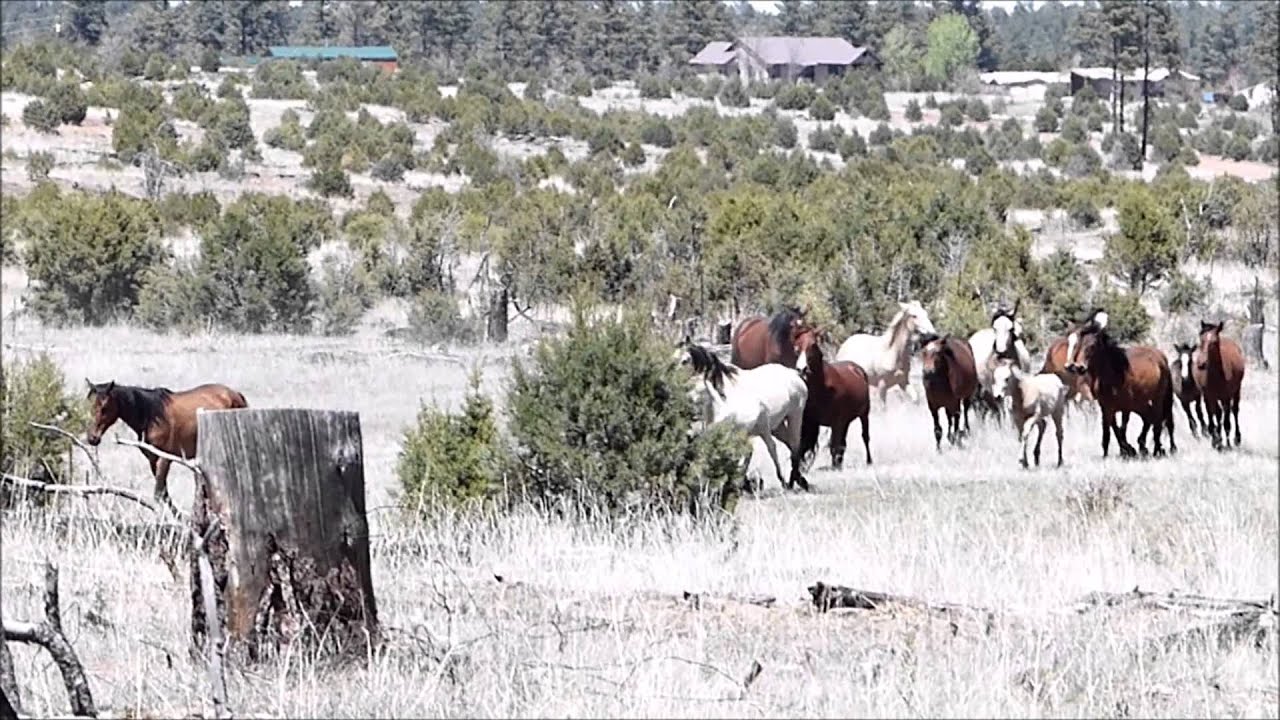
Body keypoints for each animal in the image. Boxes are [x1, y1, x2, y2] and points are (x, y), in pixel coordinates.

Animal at [85, 379, 249, 503]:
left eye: (104, 407)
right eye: (89, 405)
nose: (92, 438)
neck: (151, 416)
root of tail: (235, 394)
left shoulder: (165, 459)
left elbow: (158, 494)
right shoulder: (152, 459)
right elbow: (164, 494)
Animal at [680, 344, 810, 492]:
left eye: (684, 361)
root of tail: (794, 374)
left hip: (793, 417)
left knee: (791, 445)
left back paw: (790, 481)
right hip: (777, 426)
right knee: (788, 445)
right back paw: (797, 480)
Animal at [795, 329, 872, 470]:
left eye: (813, 345)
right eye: (796, 346)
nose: (801, 369)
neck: (823, 387)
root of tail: (857, 368)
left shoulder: (837, 422)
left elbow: (834, 446)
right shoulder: (809, 421)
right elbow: (803, 446)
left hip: (864, 414)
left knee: (865, 437)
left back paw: (869, 461)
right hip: (846, 422)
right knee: (843, 443)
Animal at [1064, 317, 1175, 459]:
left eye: (1092, 346)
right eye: (1077, 345)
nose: (1079, 367)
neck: (1112, 373)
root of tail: (1160, 356)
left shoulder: (1125, 407)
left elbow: (1122, 429)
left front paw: (1128, 451)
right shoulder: (1106, 407)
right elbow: (1111, 430)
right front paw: (1114, 453)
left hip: (1158, 399)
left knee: (1159, 422)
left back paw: (1159, 450)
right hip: (1141, 402)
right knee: (1150, 418)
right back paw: (1146, 447)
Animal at [1193, 321, 1245, 450]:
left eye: (1214, 342)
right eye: (1201, 339)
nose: (1201, 364)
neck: (1216, 376)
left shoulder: (1226, 397)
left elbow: (1226, 421)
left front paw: (1226, 443)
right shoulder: (1208, 396)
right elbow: (1213, 416)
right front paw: (1216, 440)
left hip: (1236, 391)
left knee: (1234, 410)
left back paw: (1236, 439)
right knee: (1218, 413)